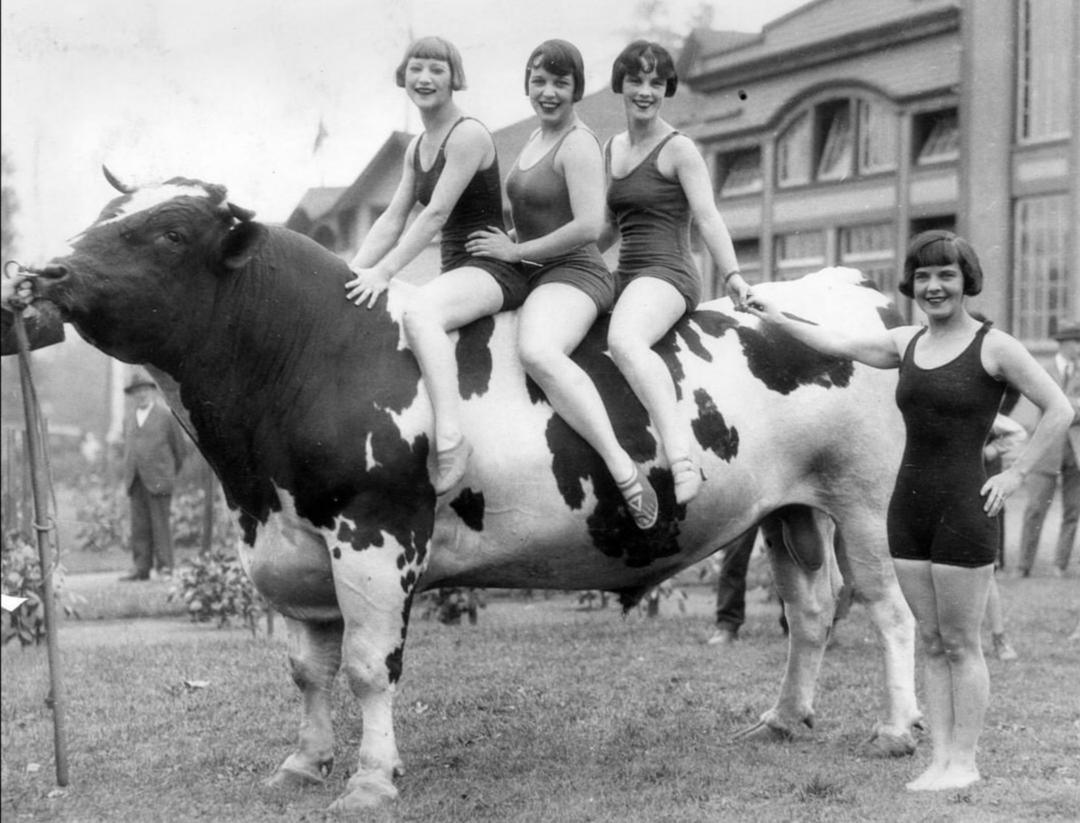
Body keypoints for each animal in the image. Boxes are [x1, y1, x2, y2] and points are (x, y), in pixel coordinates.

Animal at [24, 171, 920, 811]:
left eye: (169, 232)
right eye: (109, 208)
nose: (43, 269)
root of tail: (854, 289)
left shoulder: (376, 531)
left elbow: (367, 666)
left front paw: (370, 778)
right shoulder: (289, 540)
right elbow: (307, 669)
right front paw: (303, 763)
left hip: (864, 499)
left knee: (889, 611)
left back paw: (898, 729)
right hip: (790, 507)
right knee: (810, 608)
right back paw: (784, 718)